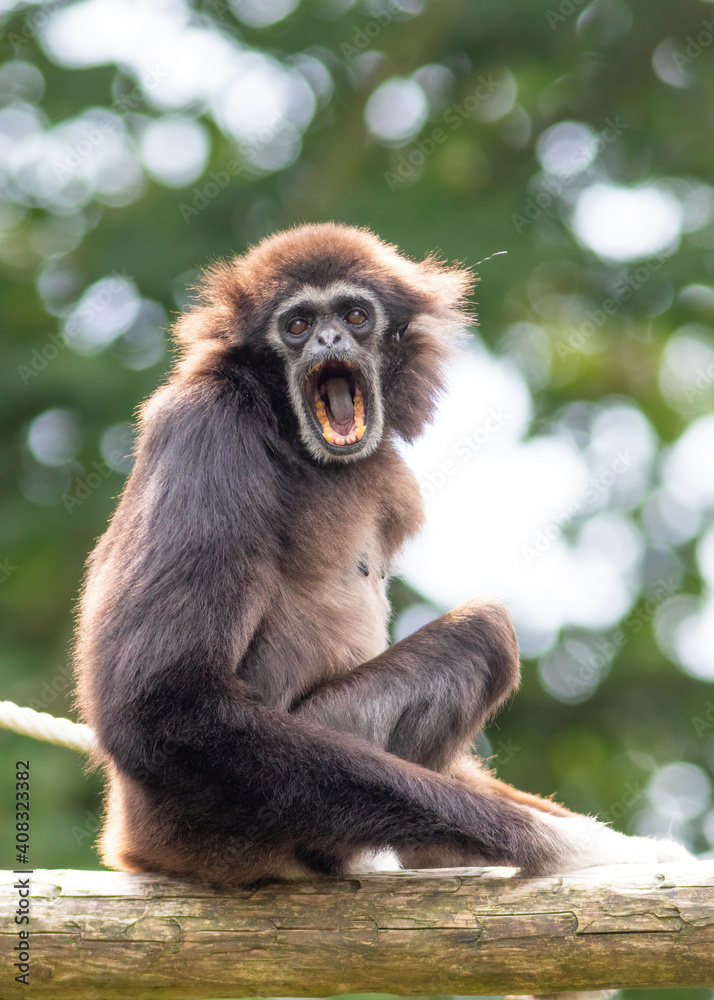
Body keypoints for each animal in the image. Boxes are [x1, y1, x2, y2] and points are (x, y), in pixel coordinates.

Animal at [74, 222, 692, 886]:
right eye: (297, 324)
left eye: (354, 314)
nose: (329, 339)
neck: (279, 422)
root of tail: (132, 836)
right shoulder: (204, 430)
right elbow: (160, 707)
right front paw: (570, 847)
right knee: (485, 632)